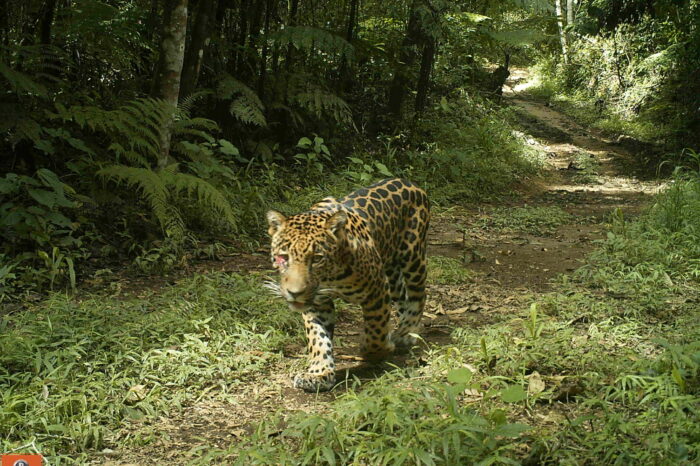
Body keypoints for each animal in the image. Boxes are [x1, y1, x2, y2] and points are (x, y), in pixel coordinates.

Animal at [266, 178, 430, 392]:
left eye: (317, 258)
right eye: (283, 257)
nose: (295, 293)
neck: (331, 277)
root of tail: (408, 182)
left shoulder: (377, 289)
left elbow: (376, 330)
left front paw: (376, 352)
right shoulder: (318, 303)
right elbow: (318, 338)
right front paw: (319, 373)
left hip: (412, 257)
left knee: (418, 295)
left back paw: (406, 333)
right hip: (392, 272)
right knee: (403, 297)